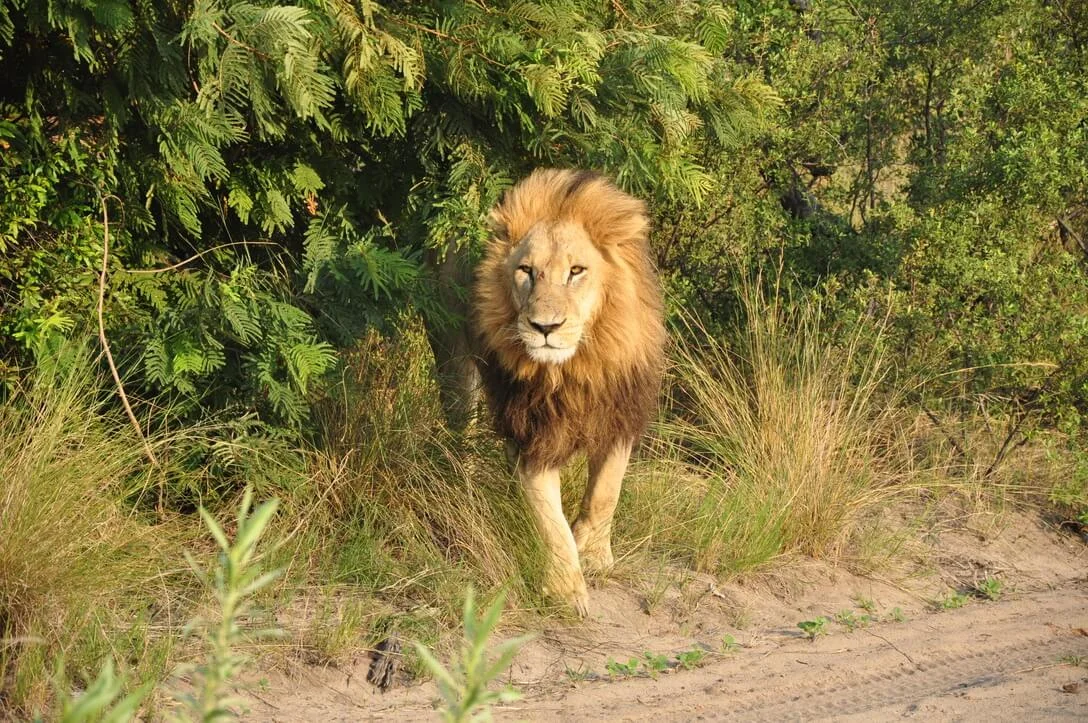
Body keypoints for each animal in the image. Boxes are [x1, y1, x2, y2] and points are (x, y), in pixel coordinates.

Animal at [472, 168, 666, 616]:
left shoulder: (619, 419)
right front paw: (565, 587)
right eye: (526, 271)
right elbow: (548, 520)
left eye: (576, 271)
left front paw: (593, 553)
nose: (545, 327)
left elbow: (605, 494)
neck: (572, 372)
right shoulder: (532, 436)